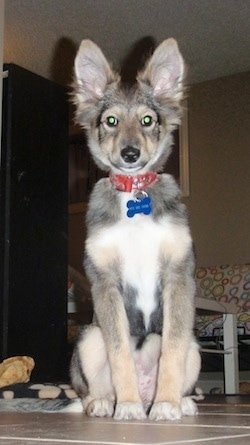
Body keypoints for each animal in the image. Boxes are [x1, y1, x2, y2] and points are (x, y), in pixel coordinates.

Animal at [69, 37, 200, 420]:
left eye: (147, 119)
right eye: (110, 120)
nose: (130, 154)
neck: (134, 197)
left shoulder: (178, 275)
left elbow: (173, 348)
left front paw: (167, 404)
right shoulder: (104, 281)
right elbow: (119, 354)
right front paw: (126, 406)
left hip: (195, 346)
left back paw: (180, 401)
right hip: (87, 336)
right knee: (92, 386)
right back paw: (105, 402)